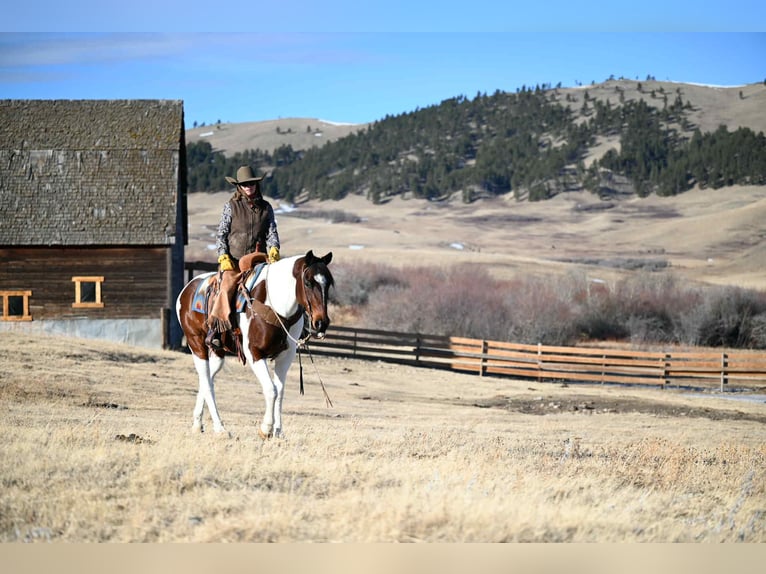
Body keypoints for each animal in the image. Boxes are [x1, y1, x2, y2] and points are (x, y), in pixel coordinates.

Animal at [176, 250, 333, 438]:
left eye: (329, 283)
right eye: (308, 282)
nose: (321, 323)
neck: (276, 308)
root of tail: (187, 288)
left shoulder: (286, 356)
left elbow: (280, 391)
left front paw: (278, 431)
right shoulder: (255, 353)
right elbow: (271, 389)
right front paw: (266, 428)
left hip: (217, 351)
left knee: (206, 379)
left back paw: (197, 423)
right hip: (196, 345)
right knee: (207, 384)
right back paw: (220, 428)